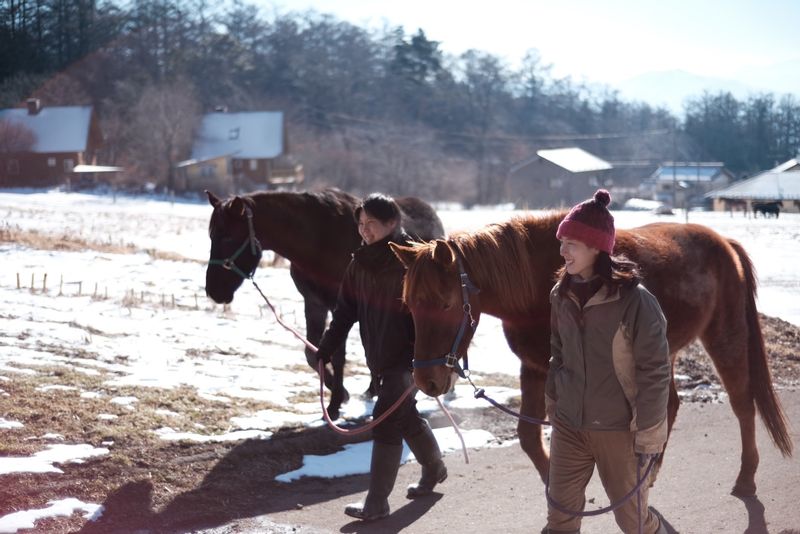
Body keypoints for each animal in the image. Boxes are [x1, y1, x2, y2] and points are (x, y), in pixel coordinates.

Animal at [205, 191, 444, 420]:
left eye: (227, 237)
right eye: (211, 236)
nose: (213, 291)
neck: (319, 241)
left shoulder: (336, 304)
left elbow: (338, 356)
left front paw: (335, 402)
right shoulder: (314, 304)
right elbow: (313, 352)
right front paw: (340, 393)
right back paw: (372, 390)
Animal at [390, 213, 792, 498]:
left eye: (446, 303)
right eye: (409, 304)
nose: (426, 380)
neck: (535, 283)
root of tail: (724, 243)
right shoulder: (534, 368)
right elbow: (529, 436)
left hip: (725, 337)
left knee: (742, 404)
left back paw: (745, 477)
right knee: (668, 406)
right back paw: (649, 473)